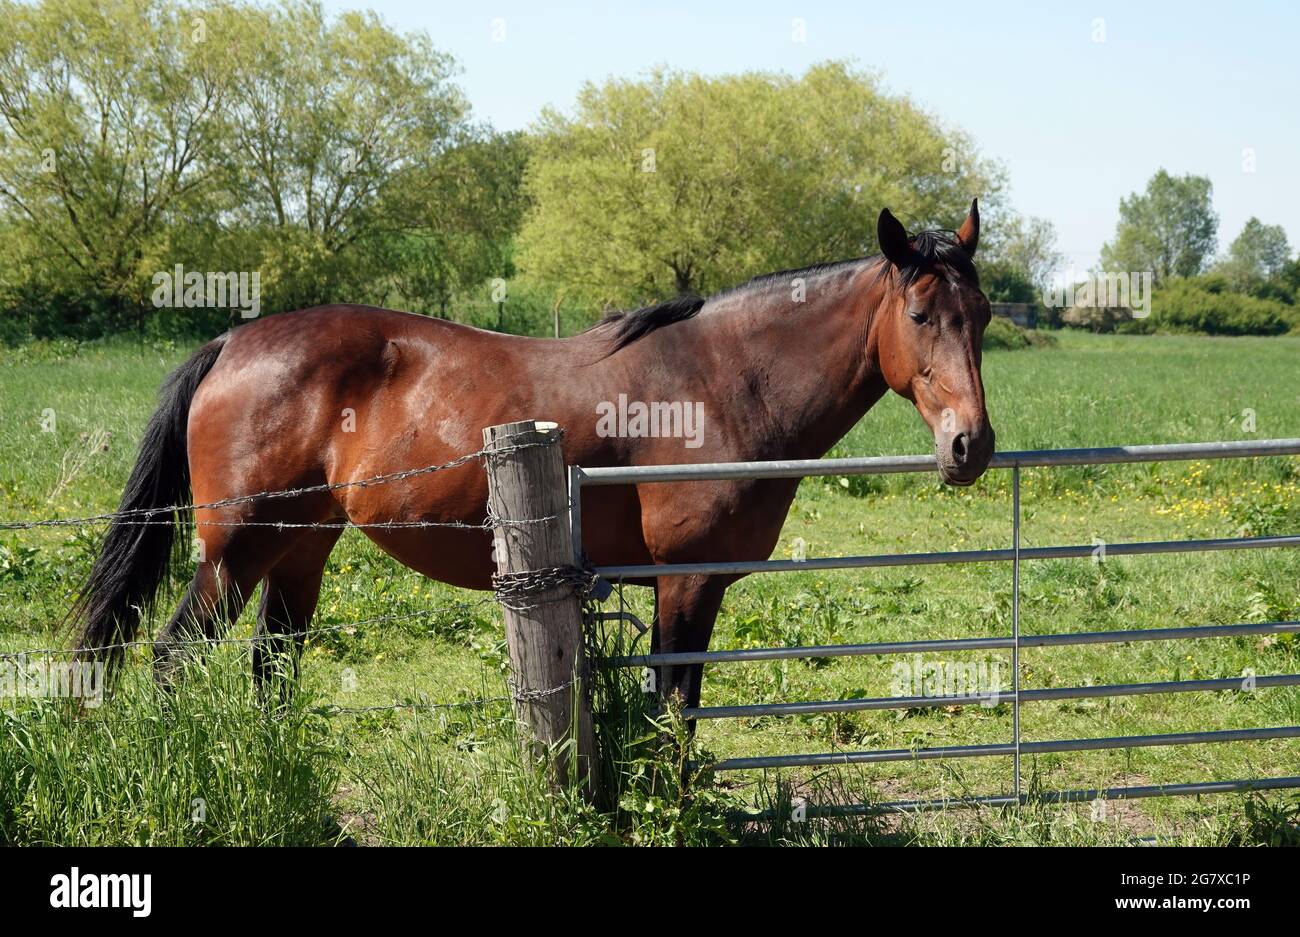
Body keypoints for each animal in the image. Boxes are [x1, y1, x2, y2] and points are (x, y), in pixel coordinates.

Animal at [73, 200, 996, 709]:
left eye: (982, 314)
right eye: (920, 315)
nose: (971, 444)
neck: (722, 379)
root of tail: (232, 341)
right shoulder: (685, 583)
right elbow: (676, 711)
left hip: (300, 551)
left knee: (273, 667)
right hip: (235, 555)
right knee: (172, 658)